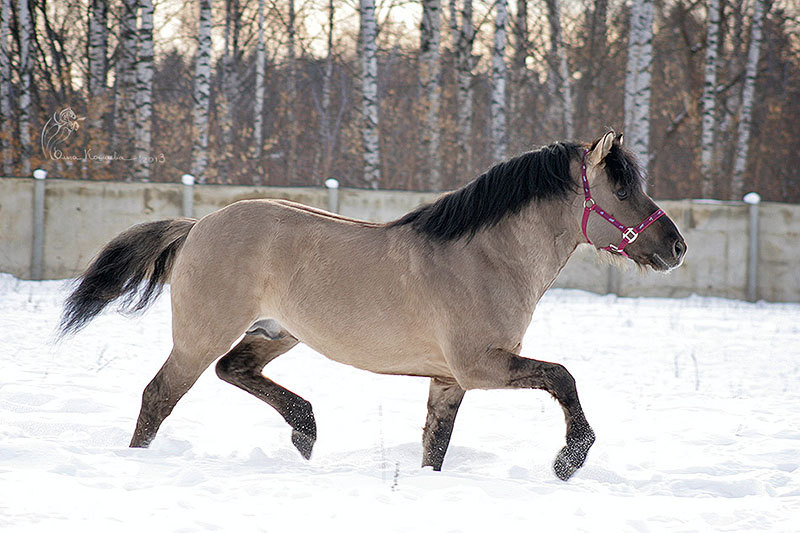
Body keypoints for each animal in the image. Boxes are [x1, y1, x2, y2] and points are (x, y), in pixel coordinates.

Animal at [61, 131, 688, 480]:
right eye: (623, 189)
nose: (676, 247)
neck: (485, 258)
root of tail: (198, 226)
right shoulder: (480, 367)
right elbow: (562, 376)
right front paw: (568, 460)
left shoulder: (449, 378)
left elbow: (436, 444)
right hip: (201, 334)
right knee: (159, 395)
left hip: (276, 332)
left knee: (233, 369)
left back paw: (305, 430)